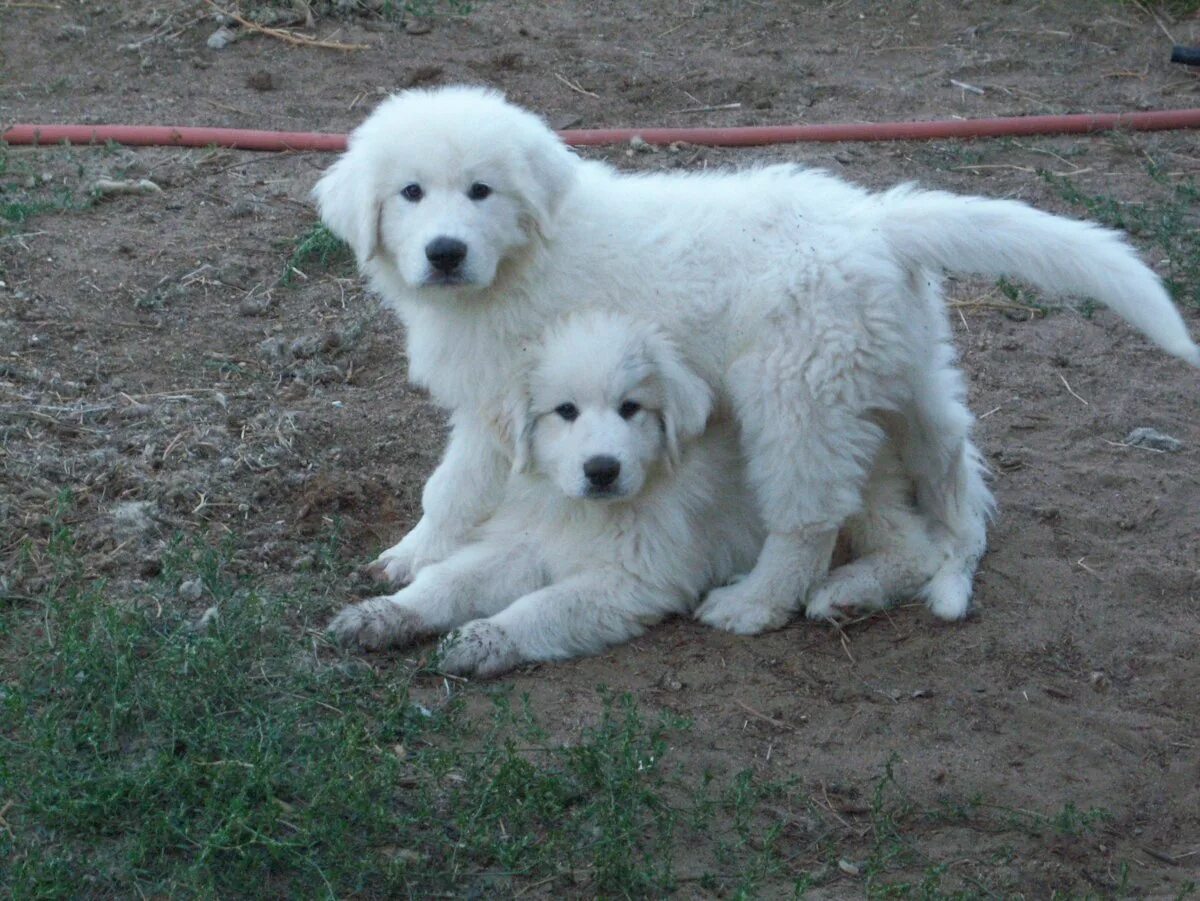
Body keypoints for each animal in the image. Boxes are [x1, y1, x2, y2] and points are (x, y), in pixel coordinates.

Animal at [326, 314, 945, 671]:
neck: (588, 512)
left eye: (631, 409)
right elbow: (450, 581)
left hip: (850, 482)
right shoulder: (525, 543)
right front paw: (384, 614)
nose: (601, 470)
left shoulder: (634, 580)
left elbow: (544, 607)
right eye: (565, 412)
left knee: (917, 549)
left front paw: (485, 638)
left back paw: (846, 590)